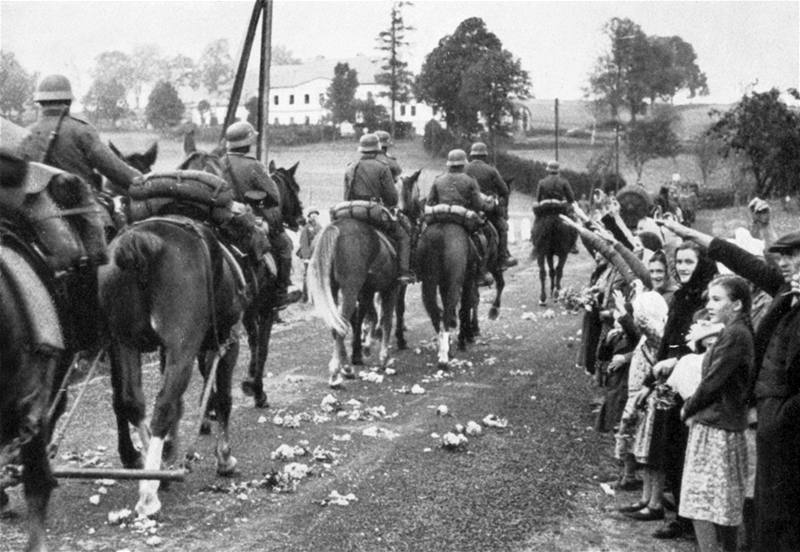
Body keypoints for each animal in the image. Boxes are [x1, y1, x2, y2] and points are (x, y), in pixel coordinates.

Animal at [97, 215, 241, 516]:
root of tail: (140, 241)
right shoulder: (227, 342)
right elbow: (223, 399)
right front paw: (224, 458)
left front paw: (171, 448)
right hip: (182, 344)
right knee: (163, 405)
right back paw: (149, 492)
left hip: (124, 342)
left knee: (133, 401)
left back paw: (156, 472)